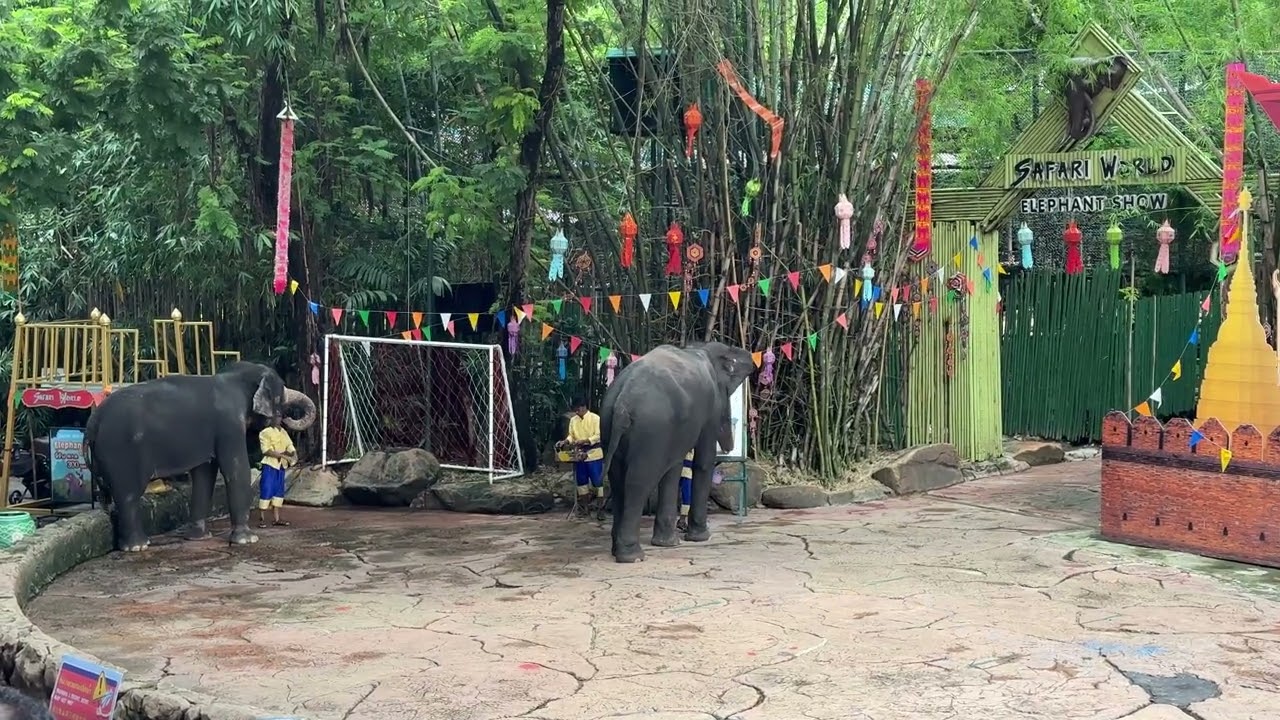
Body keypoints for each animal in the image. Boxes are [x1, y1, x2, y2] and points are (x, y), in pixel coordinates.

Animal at [83, 361, 316, 551]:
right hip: (122, 450)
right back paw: (138, 546)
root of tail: (93, 422)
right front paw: (247, 540)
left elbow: (205, 473)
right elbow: (236, 467)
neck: (233, 377)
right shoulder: (229, 425)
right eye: (281, 392)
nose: (285, 417)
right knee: (129, 494)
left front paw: (199, 537)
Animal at [599, 341, 753, 563]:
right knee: (637, 481)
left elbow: (674, 465)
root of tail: (622, 403)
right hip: (651, 429)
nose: (729, 448)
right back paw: (633, 556)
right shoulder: (711, 406)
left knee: (617, 480)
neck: (701, 348)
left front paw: (668, 543)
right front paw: (700, 537)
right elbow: (703, 461)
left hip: (609, 424)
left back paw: (618, 549)